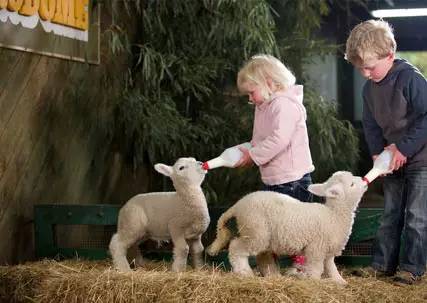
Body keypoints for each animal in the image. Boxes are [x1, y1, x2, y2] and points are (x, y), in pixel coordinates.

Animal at [206, 171, 368, 284]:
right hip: (255, 231)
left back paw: (273, 275)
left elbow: (331, 267)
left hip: (262, 236)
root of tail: (238, 205)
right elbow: (316, 268)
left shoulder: (327, 251)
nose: (365, 181)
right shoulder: (316, 248)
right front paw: (314, 281)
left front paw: (340, 281)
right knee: (236, 247)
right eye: (352, 184)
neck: (334, 215)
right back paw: (244, 272)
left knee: (262, 257)